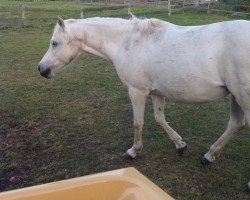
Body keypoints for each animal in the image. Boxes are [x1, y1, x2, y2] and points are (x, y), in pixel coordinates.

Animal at [37, 16, 250, 189]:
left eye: (54, 43)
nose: (41, 69)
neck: (128, 42)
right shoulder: (157, 92)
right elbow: (159, 118)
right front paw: (179, 144)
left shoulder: (136, 91)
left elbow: (138, 123)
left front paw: (133, 151)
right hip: (236, 97)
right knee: (235, 125)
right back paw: (209, 155)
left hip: (243, 97)